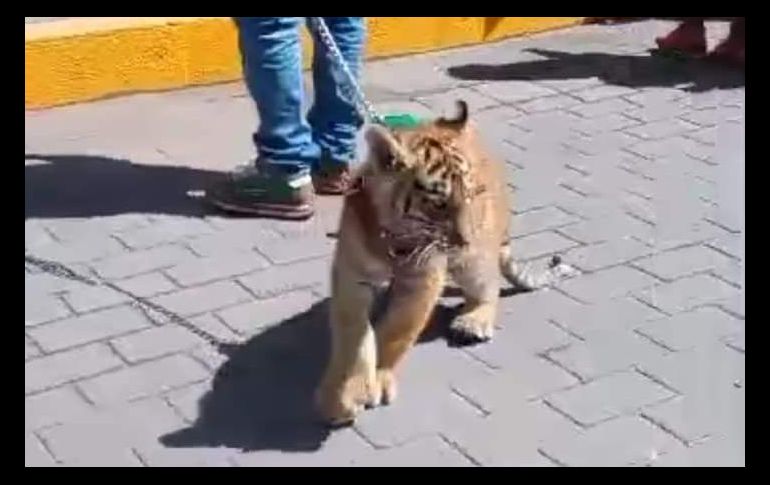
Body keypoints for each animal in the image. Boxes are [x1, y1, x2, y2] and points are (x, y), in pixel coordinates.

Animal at [315, 100, 576, 426]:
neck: (395, 236)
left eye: (471, 194)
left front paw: (379, 378)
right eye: (439, 204)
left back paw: (473, 321)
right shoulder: (352, 274)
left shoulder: (423, 279)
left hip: (474, 260)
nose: (466, 239)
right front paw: (344, 394)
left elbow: (398, 330)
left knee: (489, 287)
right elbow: (353, 334)